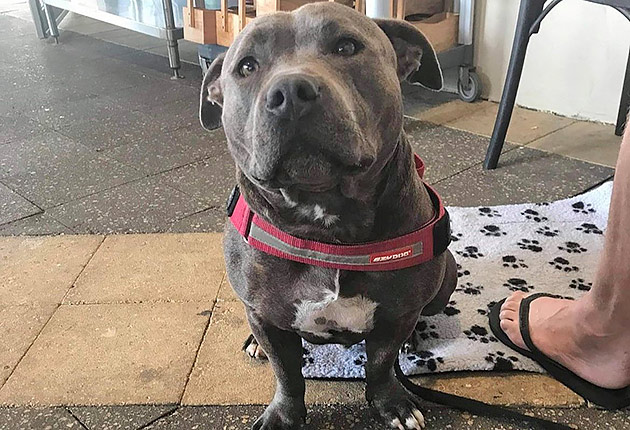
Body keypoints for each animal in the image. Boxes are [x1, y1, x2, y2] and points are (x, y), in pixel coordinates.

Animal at [200, 2, 456, 426]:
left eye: (347, 46)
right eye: (247, 66)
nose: (289, 92)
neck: (326, 224)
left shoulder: (395, 317)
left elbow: (381, 364)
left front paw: (392, 403)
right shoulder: (267, 318)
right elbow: (287, 372)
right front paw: (284, 414)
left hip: (445, 274)